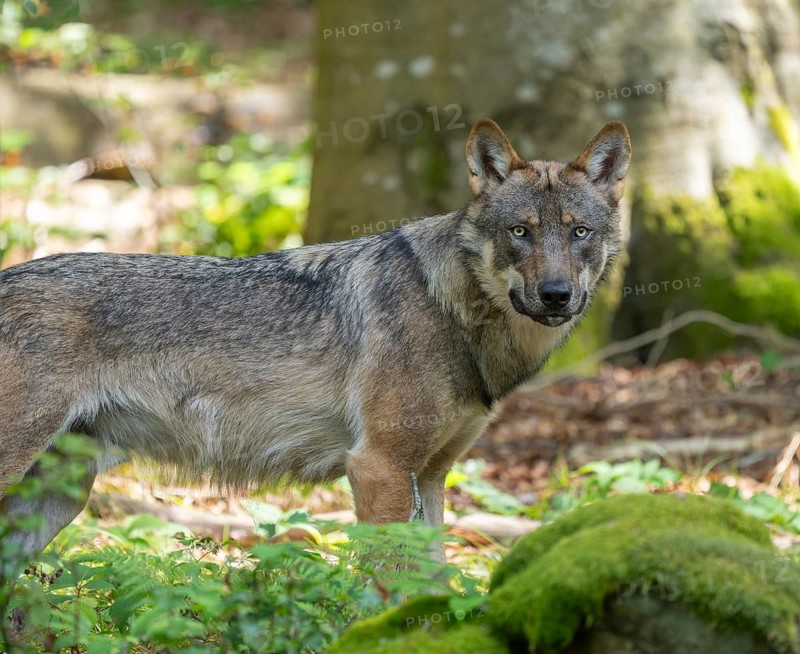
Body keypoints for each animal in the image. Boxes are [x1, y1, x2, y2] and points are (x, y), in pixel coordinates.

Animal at [0, 118, 630, 561]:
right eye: (520, 232)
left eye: (580, 232)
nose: (556, 295)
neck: (451, 308)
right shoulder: (377, 468)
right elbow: (391, 585)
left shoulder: (429, 477)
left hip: (59, 497)